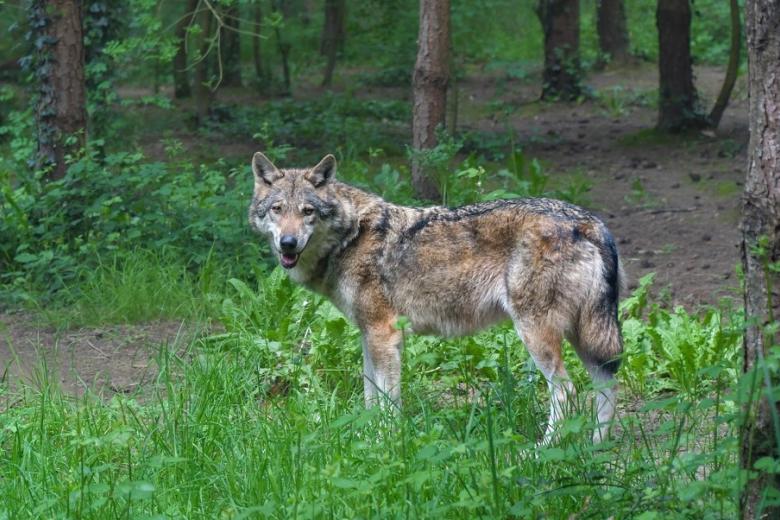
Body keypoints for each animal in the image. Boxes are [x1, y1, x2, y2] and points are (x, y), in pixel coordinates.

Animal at [247, 152, 624, 443]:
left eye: (307, 211)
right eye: (277, 209)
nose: (288, 243)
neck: (351, 236)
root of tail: (590, 222)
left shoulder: (385, 335)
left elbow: (388, 403)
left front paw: (386, 444)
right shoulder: (368, 336)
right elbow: (370, 399)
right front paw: (365, 442)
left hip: (537, 334)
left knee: (567, 391)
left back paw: (540, 452)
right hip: (584, 336)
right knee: (606, 385)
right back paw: (595, 448)